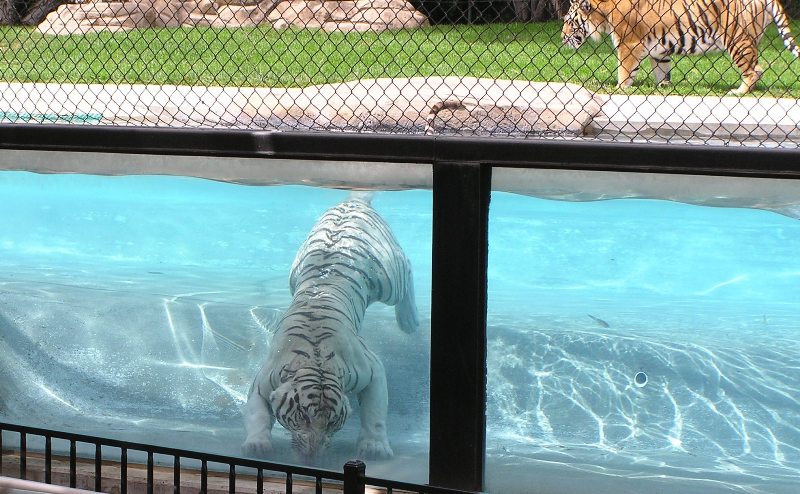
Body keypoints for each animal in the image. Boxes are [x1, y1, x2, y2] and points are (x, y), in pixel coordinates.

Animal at [242, 192, 418, 460]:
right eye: (303, 417)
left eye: (333, 423)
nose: (313, 453)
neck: (316, 360)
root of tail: (355, 200)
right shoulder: (261, 383)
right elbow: (257, 415)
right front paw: (257, 445)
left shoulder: (372, 370)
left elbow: (375, 415)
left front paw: (374, 447)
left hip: (389, 281)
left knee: (407, 268)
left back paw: (410, 321)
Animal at [564, 0, 800, 93]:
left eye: (568, 22)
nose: (562, 37)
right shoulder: (659, 49)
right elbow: (662, 70)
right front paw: (664, 87)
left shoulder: (628, 44)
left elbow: (624, 70)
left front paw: (619, 88)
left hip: (737, 39)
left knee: (755, 69)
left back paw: (739, 91)